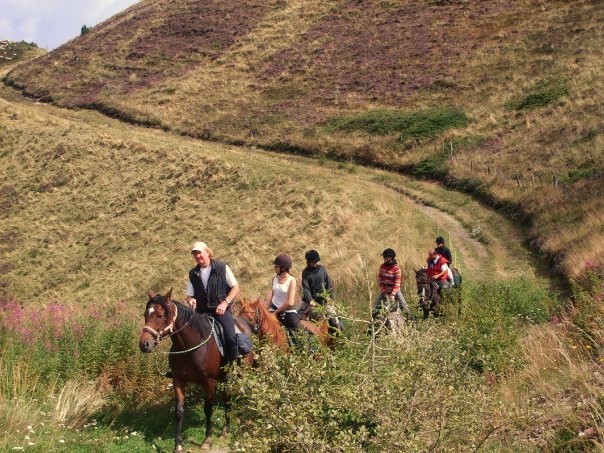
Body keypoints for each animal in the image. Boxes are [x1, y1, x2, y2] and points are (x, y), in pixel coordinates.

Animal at [139, 290, 252, 452]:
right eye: (145, 315)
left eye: (160, 315)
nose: (144, 344)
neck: (190, 345)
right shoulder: (178, 381)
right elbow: (179, 411)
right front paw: (178, 445)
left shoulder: (209, 382)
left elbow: (208, 409)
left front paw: (207, 439)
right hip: (224, 378)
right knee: (227, 398)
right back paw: (225, 430)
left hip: (242, 373)